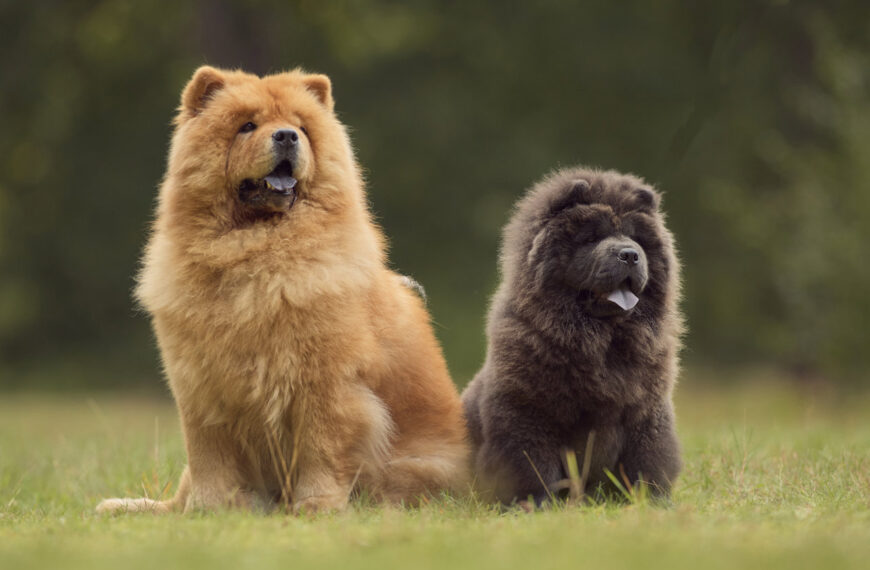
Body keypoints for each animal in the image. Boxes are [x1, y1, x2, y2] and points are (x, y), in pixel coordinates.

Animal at [95, 66, 470, 516]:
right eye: (247, 126)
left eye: (302, 128)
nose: (287, 136)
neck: (253, 252)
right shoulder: (198, 385)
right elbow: (207, 455)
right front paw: (208, 509)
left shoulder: (323, 383)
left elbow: (320, 448)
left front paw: (316, 505)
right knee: (176, 495)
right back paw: (128, 506)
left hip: (415, 468)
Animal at [466, 165, 684, 502]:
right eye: (592, 238)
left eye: (636, 238)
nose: (629, 254)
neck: (602, 343)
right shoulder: (527, 412)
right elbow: (532, 463)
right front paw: (535, 503)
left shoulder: (646, 413)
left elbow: (648, 458)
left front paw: (652, 501)